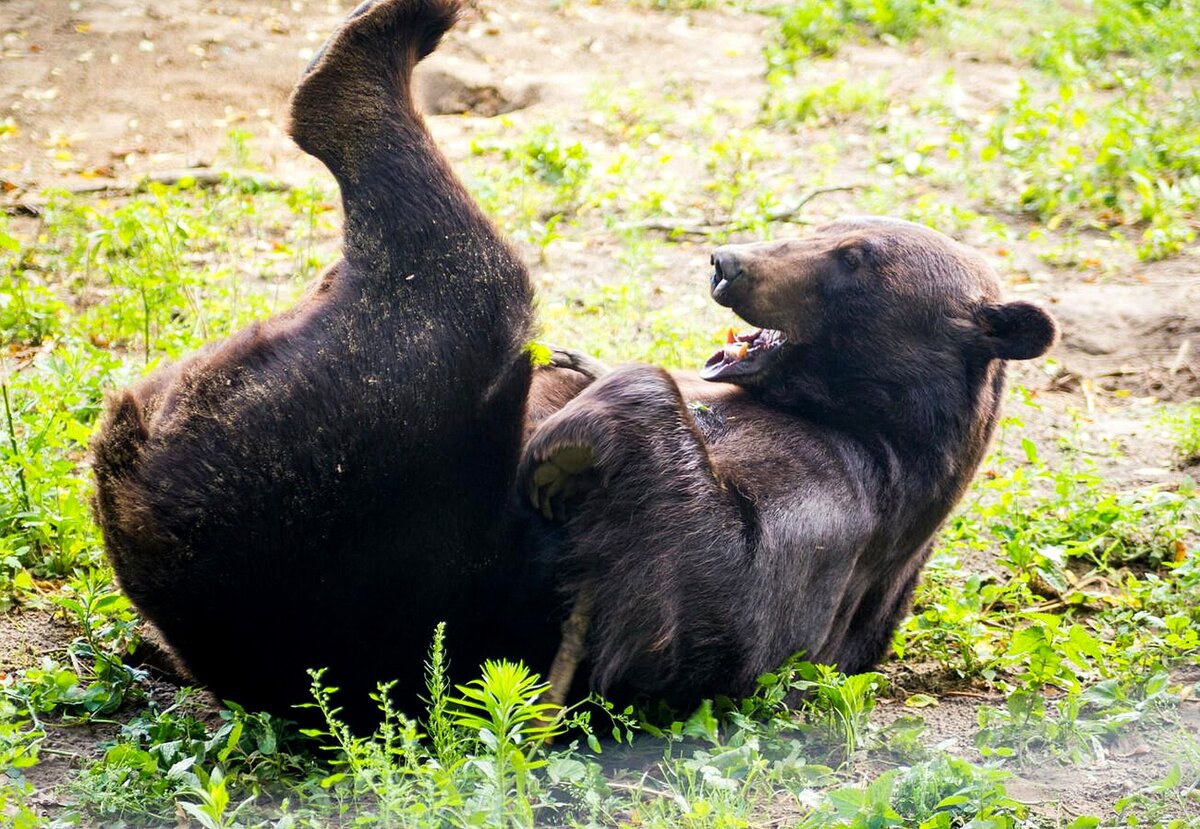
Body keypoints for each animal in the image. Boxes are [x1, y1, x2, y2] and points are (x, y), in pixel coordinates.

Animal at [520, 220, 1056, 715]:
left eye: (852, 258)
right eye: (824, 227)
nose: (725, 263)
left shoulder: (842, 501)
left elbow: (730, 613)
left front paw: (570, 446)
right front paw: (574, 363)